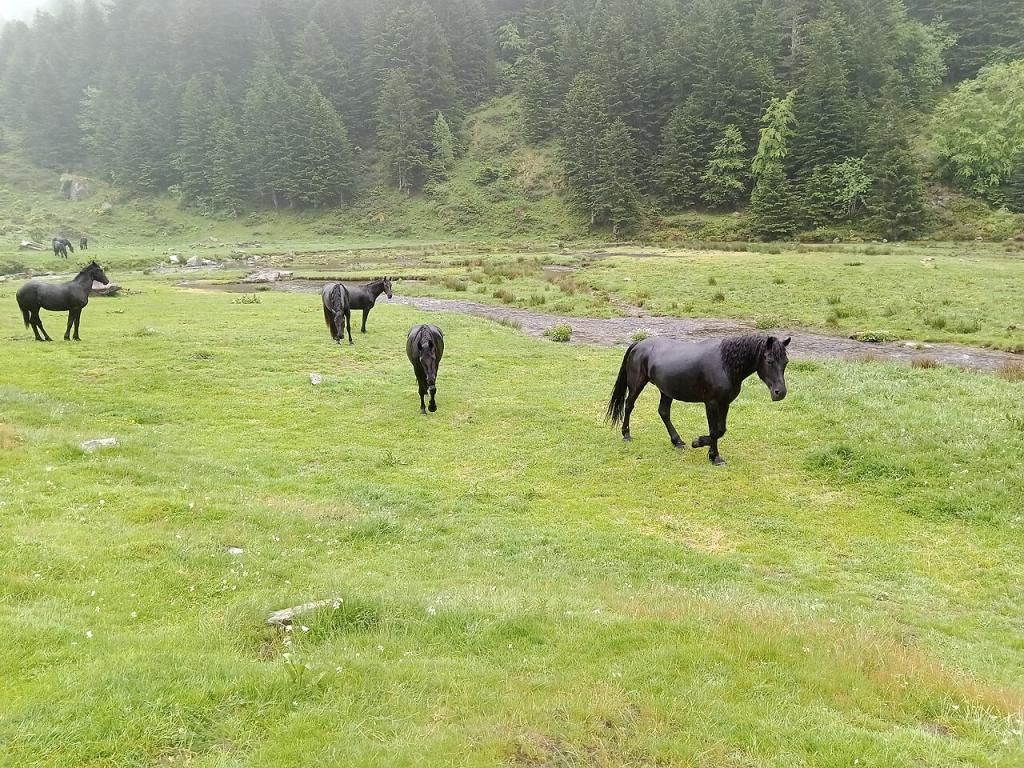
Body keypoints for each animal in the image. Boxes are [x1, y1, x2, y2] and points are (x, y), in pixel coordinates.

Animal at [607, 334, 790, 466]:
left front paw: (704, 447)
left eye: (786, 362)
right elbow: (714, 431)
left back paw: (677, 441)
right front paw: (710, 453)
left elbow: (721, 430)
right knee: (629, 405)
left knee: (664, 412)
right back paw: (626, 434)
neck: (725, 365)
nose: (780, 393)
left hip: (666, 391)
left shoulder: (725, 403)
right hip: (637, 384)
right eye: (769, 361)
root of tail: (638, 345)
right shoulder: (711, 403)